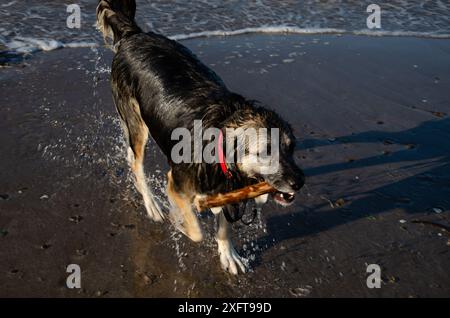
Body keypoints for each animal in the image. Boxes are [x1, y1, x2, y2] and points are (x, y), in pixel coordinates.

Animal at [96, 0, 304, 274]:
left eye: (291, 148)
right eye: (266, 151)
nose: (299, 182)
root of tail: (134, 35)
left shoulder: (229, 189)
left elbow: (224, 227)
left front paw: (228, 254)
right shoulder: (176, 181)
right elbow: (196, 232)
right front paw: (180, 222)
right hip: (136, 122)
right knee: (136, 161)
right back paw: (152, 204)